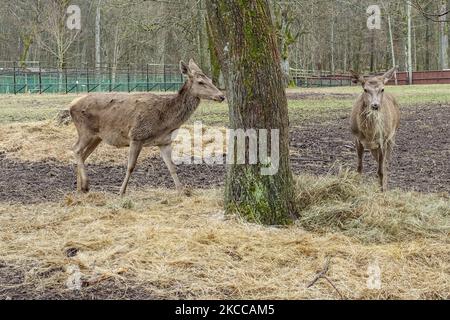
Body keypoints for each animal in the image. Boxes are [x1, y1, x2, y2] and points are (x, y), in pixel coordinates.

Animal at [70, 58, 225, 196]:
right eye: (200, 82)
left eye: (210, 80)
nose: (221, 96)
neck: (165, 122)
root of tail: (71, 105)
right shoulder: (136, 135)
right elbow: (130, 166)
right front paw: (121, 192)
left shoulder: (164, 141)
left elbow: (172, 167)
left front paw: (181, 191)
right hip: (85, 130)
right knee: (76, 149)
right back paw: (85, 185)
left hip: (97, 137)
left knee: (83, 155)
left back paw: (79, 189)